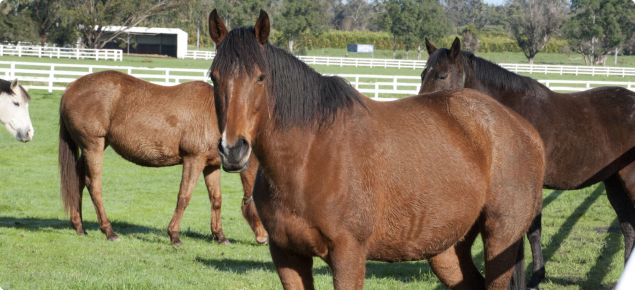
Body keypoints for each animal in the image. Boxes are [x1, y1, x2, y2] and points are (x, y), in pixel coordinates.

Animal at [57, 70, 268, 245]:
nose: (265, 239)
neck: (214, 117)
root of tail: (71, 86)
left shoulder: (211, 165)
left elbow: (216, 199)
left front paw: (220, 236)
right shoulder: (193, 160)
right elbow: (184, 197)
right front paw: (174, 235)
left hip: (91, 148)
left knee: (78, 181)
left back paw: (79, 227)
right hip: (93, 146)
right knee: (94, 186)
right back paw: (109, 231)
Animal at [209, 10, 548, 288]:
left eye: (260, 77)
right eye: (213, 77)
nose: (233, 149)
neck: (308, 157)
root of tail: (525, 129)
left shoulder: (348, 256)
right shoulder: (287, 257)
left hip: (500, 238)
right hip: (447, 250)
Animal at [422, 37, 635, 288]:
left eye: (443, 75)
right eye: (422, 74)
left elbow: (532, 231)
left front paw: (534, 277)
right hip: (614, 181)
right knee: (628, 226)